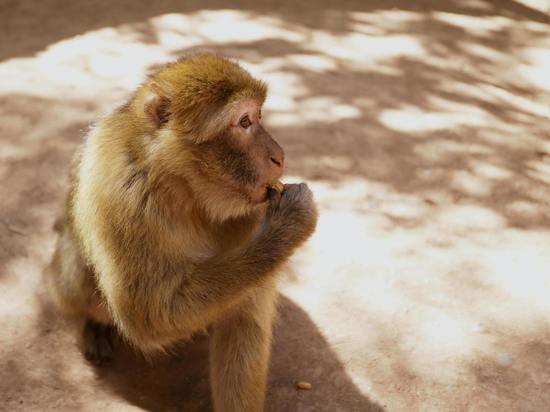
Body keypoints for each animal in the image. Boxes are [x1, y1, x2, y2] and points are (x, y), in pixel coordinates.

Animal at [45, 54, 320, 412]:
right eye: (245, 121)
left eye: (258, 117)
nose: (279, 156)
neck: (185, 189)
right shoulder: (120, 192)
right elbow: (148, 314)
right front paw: (288, 223)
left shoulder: (251, 211)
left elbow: (243, 318)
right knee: (82, 284)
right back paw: (93, 324)